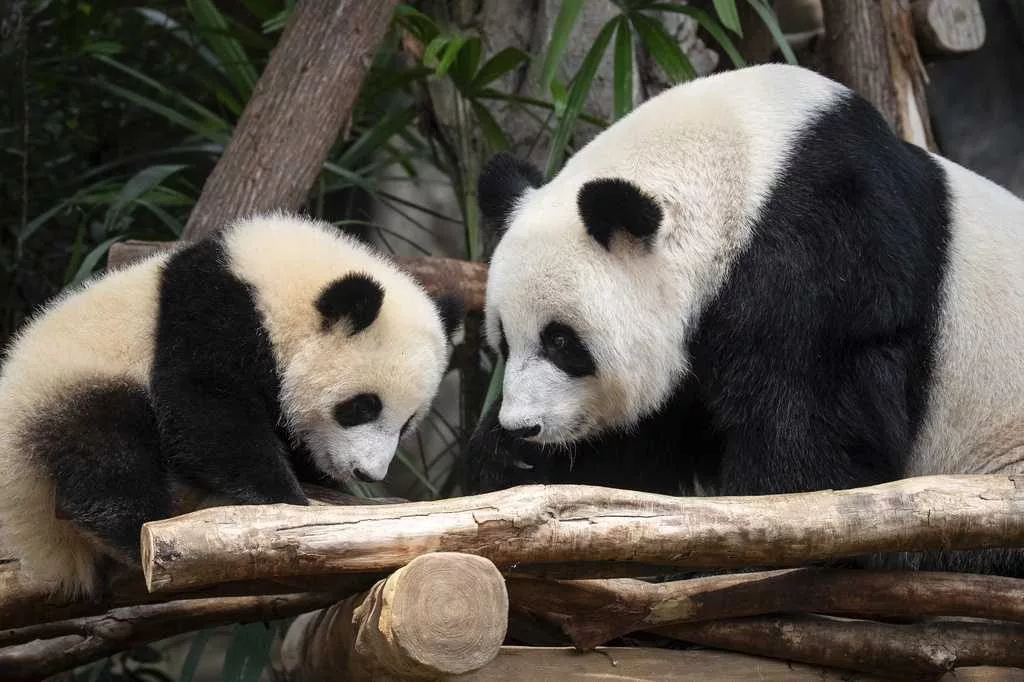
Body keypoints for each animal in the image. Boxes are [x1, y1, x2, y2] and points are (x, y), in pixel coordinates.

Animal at [0, 212, 463, 598]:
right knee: (107, 453)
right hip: (72, 385)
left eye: (407, 424)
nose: (367, 473)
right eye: (363, 407)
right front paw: (287, 501)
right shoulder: (212, 316)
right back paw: (139, 530)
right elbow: (206, 410)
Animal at [465, 64, 1024, 576]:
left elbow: (810, 436)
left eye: (562, 342)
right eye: (504, 342)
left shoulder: (830, 252)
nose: (524, 426)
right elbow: (649, 437)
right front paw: (508, 462)